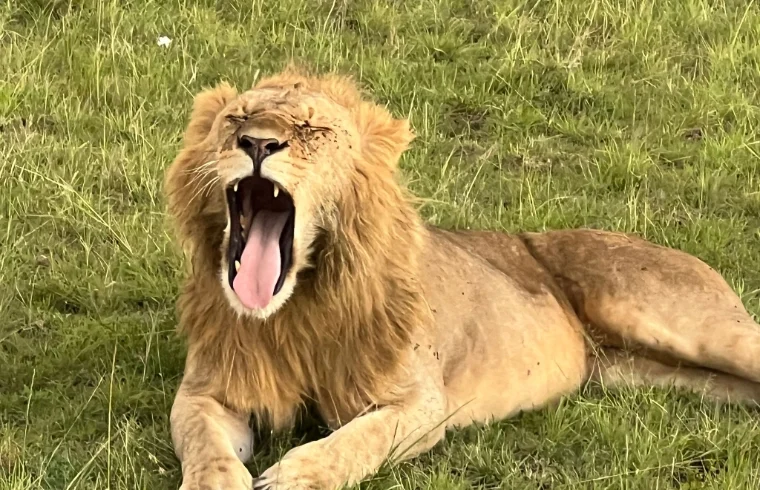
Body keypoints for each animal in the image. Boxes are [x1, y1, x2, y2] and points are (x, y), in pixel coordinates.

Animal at [163, 67, 760, 490]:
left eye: (312, 129)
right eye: (236, 119)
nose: (258, 144)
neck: (295, 307)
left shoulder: (422, 404)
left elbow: (356, 442)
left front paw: (294, 475)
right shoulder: (205, 391)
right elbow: (206, 447)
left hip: (692, 325)